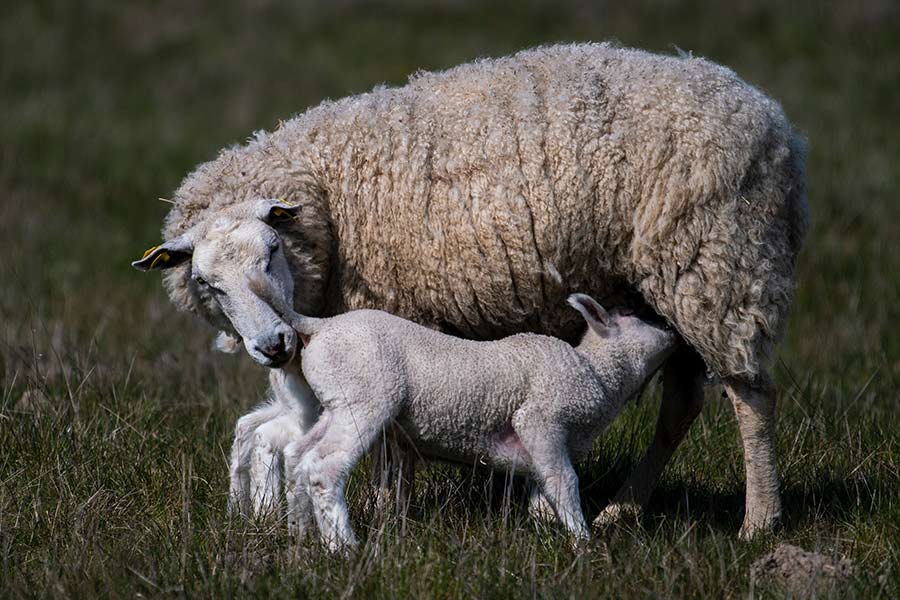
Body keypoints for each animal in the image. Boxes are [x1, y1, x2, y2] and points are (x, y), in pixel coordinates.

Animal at [132, 42, 808, 540]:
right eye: (207, 284)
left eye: (272, 251)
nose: (272, 346)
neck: (329, 202)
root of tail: (772, 120)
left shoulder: (396, 314)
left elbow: (393, 440)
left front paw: (387, 511)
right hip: (671, 285)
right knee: (683, 404)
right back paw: (624, 509)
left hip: (719, 268)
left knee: (750, 397)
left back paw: (758, 522)